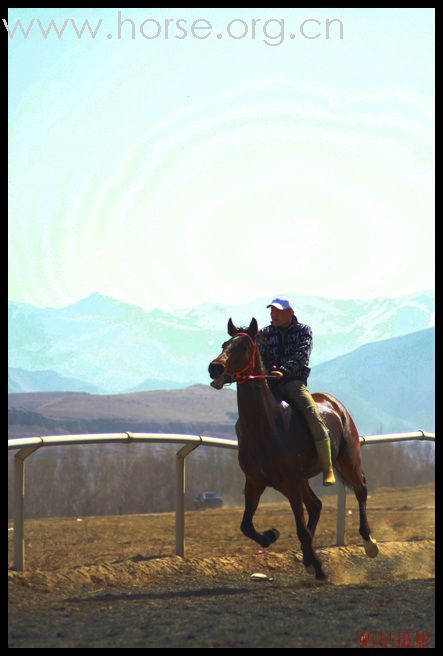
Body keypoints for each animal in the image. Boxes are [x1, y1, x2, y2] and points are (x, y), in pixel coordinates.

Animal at [208, 318, 378, 580]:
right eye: (224, 344)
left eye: (244, 347)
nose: (215, 367)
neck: (266, 426)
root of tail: (335, 404)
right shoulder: (255, 481)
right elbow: (246, 525)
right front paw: (271, 535)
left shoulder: (290, 482)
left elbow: (300, 528)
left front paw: (318, 566)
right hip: (301, 480)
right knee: (316, 506)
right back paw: (308, 559)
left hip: (347, 460)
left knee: (361, 489)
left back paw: (369, 543)